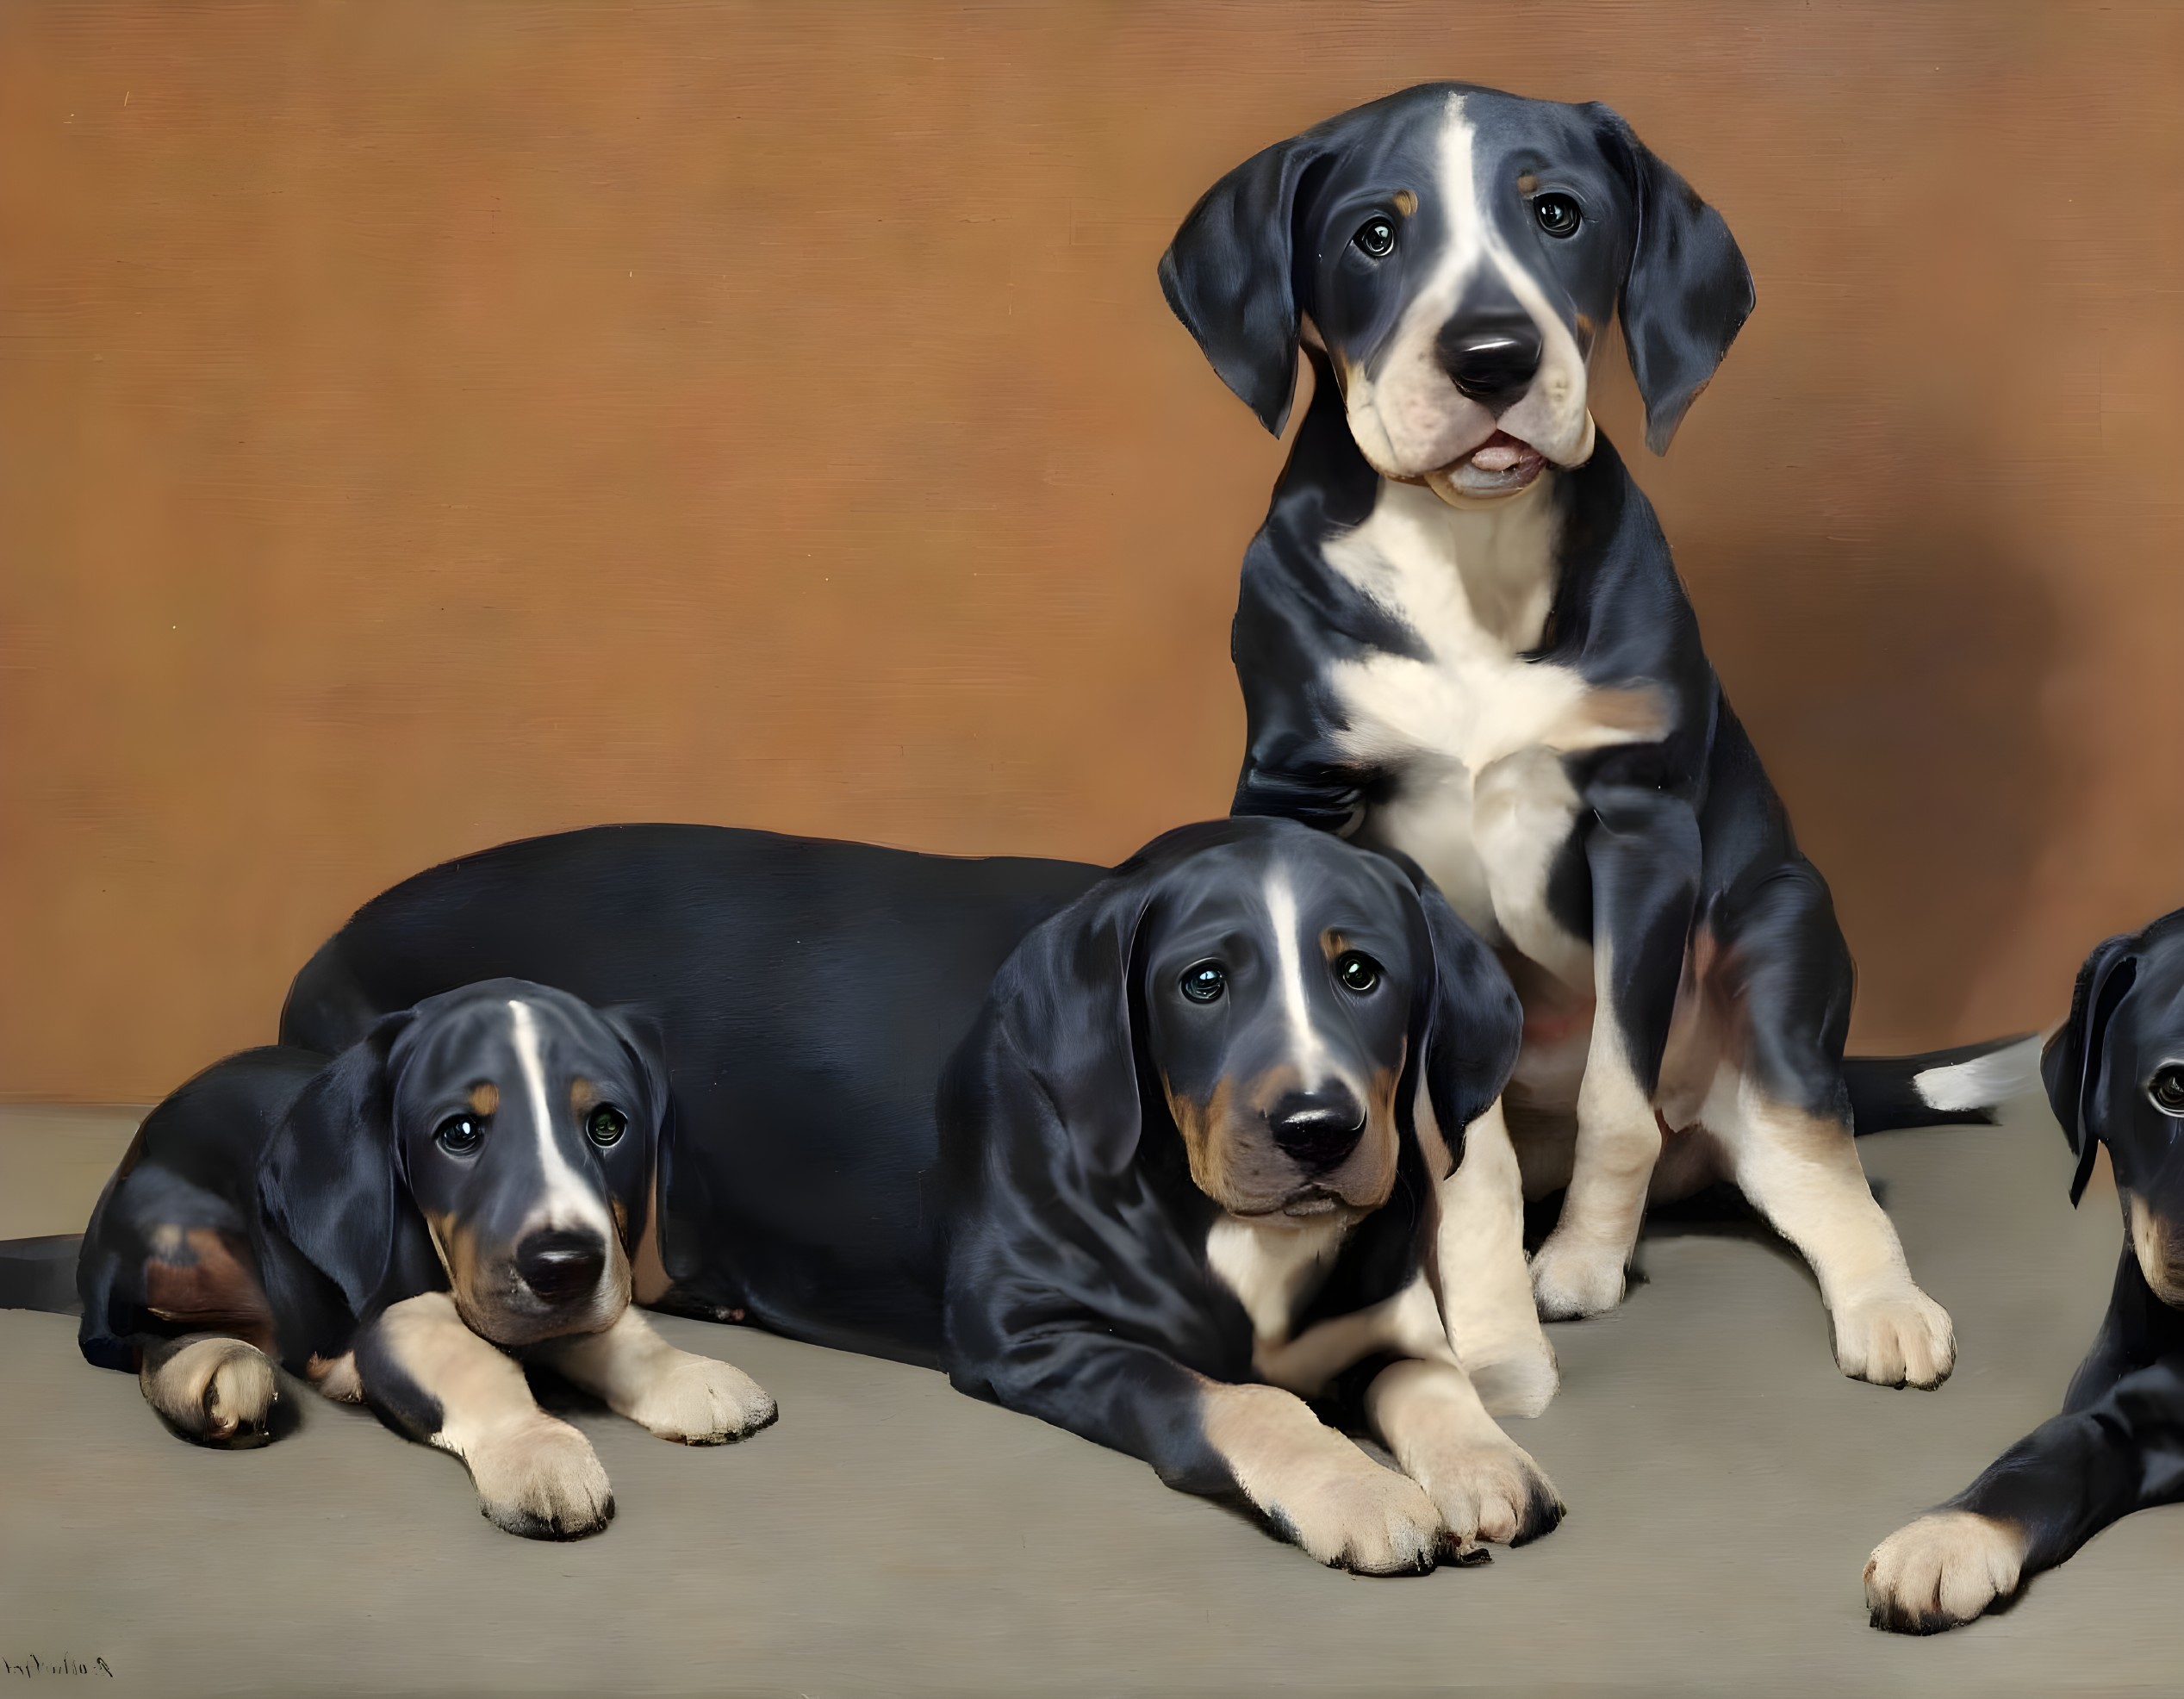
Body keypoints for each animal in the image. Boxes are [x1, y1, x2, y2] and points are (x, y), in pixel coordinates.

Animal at [77, 965, 777, 1537]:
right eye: (459, 1133)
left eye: (608, 1127)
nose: (563, 1269)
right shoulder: (395, 1315)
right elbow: (473, 1363)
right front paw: (535, 1450)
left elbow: (616, 1326)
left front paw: (685, 1374)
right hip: (175, 1233)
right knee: (130, 1338)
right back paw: (218, 1368)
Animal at [286, 812, 1554, 1571]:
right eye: (1202, 984)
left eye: (1362, 973)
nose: (1316, 1131)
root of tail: (334, 936)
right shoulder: (1033, 1335)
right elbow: (1244, 1403)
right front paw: (1355, 1491)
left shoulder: (1378, 1320)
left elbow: (1436, 1382)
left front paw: (1487, 1465)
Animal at [1161, 79, 2026, 1379]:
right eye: (1375, 234)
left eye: (1556, 214)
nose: (1491, 358)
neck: (1469, 551)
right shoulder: (1311, 800)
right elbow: (1451, 1142)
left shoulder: (1640, 828)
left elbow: (1618, 1100)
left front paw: (1575, 1265)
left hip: (1780, 938)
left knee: (1810, 1154)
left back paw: (1882, 1303)